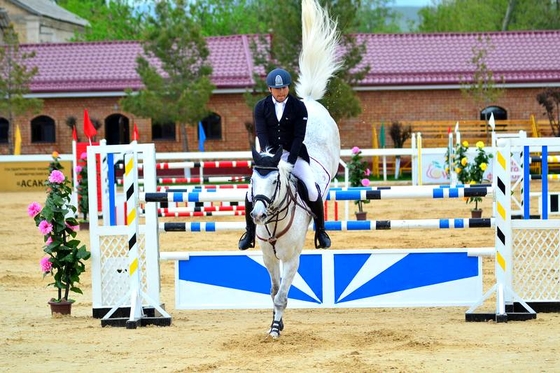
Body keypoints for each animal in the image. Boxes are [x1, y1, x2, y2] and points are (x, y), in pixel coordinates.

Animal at [249, 0, 342, 338]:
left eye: (276, 180)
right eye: (253, 180)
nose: (257, 215)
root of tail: (309, 101)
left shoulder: (291, 259)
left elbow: (282, 295)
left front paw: (276, 328)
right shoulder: (268, 257)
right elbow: (273, 291)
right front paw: (274, 324)